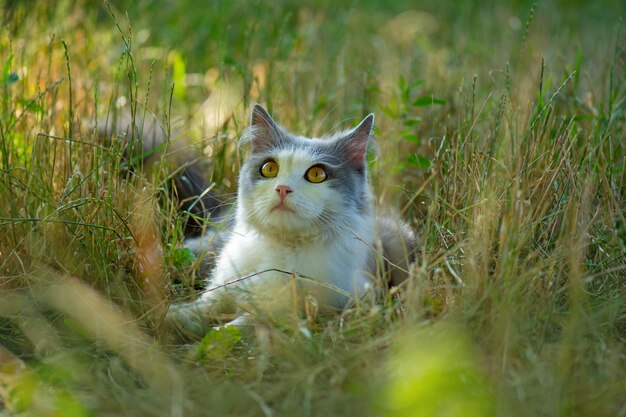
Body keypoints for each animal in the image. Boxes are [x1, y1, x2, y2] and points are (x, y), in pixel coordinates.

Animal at [165, 105, 414, 332]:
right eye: (269, 168)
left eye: (317, 174)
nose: (283, 188)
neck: (282, 249)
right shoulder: (225, 288)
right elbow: (200, 307)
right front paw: (169, 318)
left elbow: (245, 325)